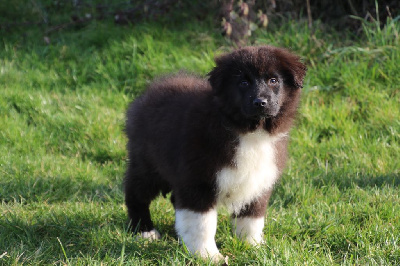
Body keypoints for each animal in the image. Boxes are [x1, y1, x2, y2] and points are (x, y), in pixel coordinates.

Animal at [124, 45, 306, 260]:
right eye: (243, 82)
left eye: (273, 80)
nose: (260, 102)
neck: (249, 131)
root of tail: (148, 94)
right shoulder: (198, 181)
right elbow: (202, 223)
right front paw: (207, 256)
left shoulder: (259, 181)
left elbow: (251, 219)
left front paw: (253, 247)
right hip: (148, 164)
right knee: (135, 193)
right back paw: (144, 231)